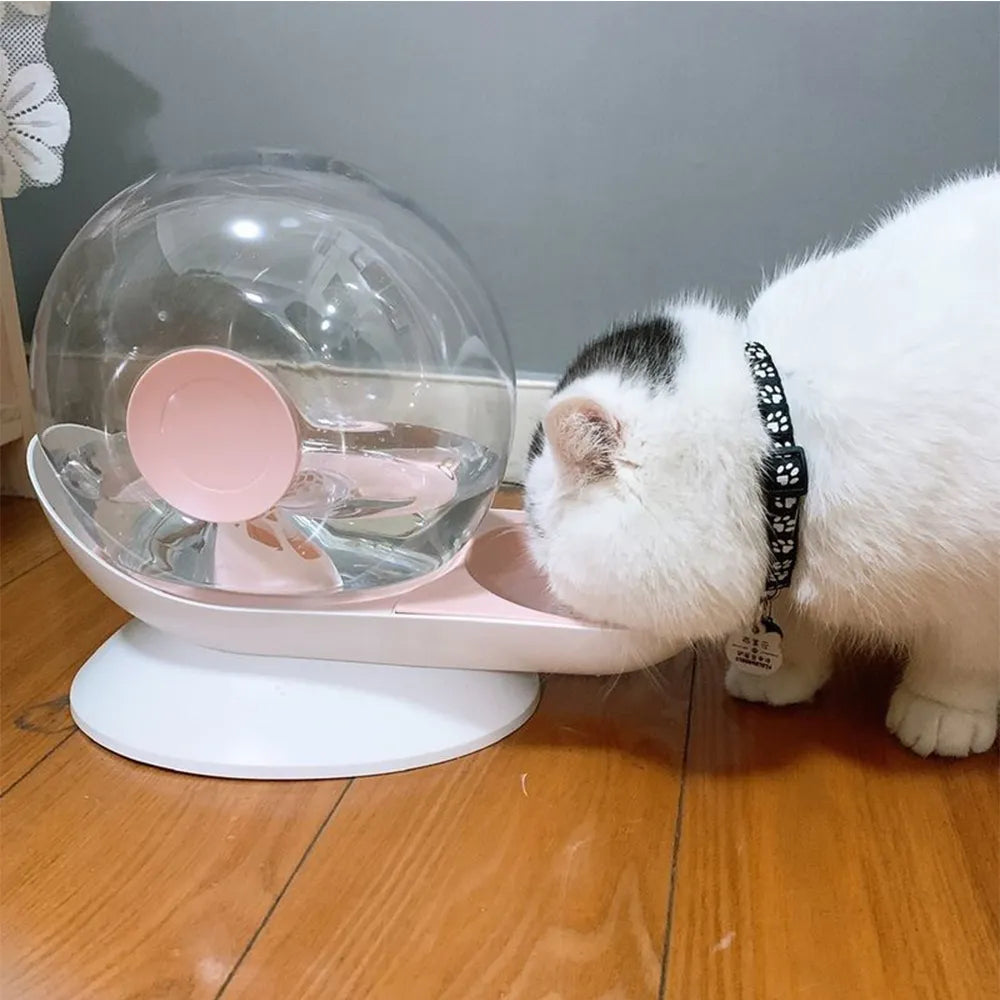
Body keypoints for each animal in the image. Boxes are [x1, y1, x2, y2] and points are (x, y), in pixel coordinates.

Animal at [524, 172, 1000, 752]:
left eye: (541, 530)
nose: (536, 566)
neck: (785, 448)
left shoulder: (981, 588)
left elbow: (965, 654)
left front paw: (944, 711)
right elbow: (793, 622)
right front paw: (777, 676)